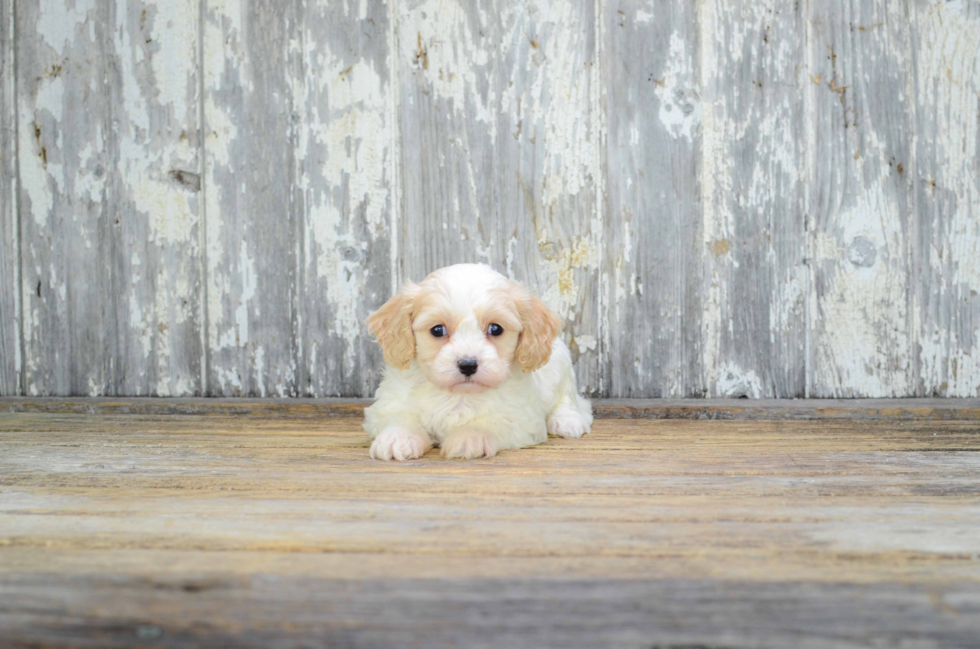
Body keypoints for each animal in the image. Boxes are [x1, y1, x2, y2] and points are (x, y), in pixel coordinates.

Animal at [364, 260, 592, 458]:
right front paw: (397, 437)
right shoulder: (388, 405)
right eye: (437, 330)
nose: (467, 365)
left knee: (571, 401)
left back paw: (567, 421)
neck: (459, 395)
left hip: (562, 367)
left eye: (495, 329)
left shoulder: (520, 418)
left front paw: (470, 437)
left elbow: (491, 423)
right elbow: (400, 416)